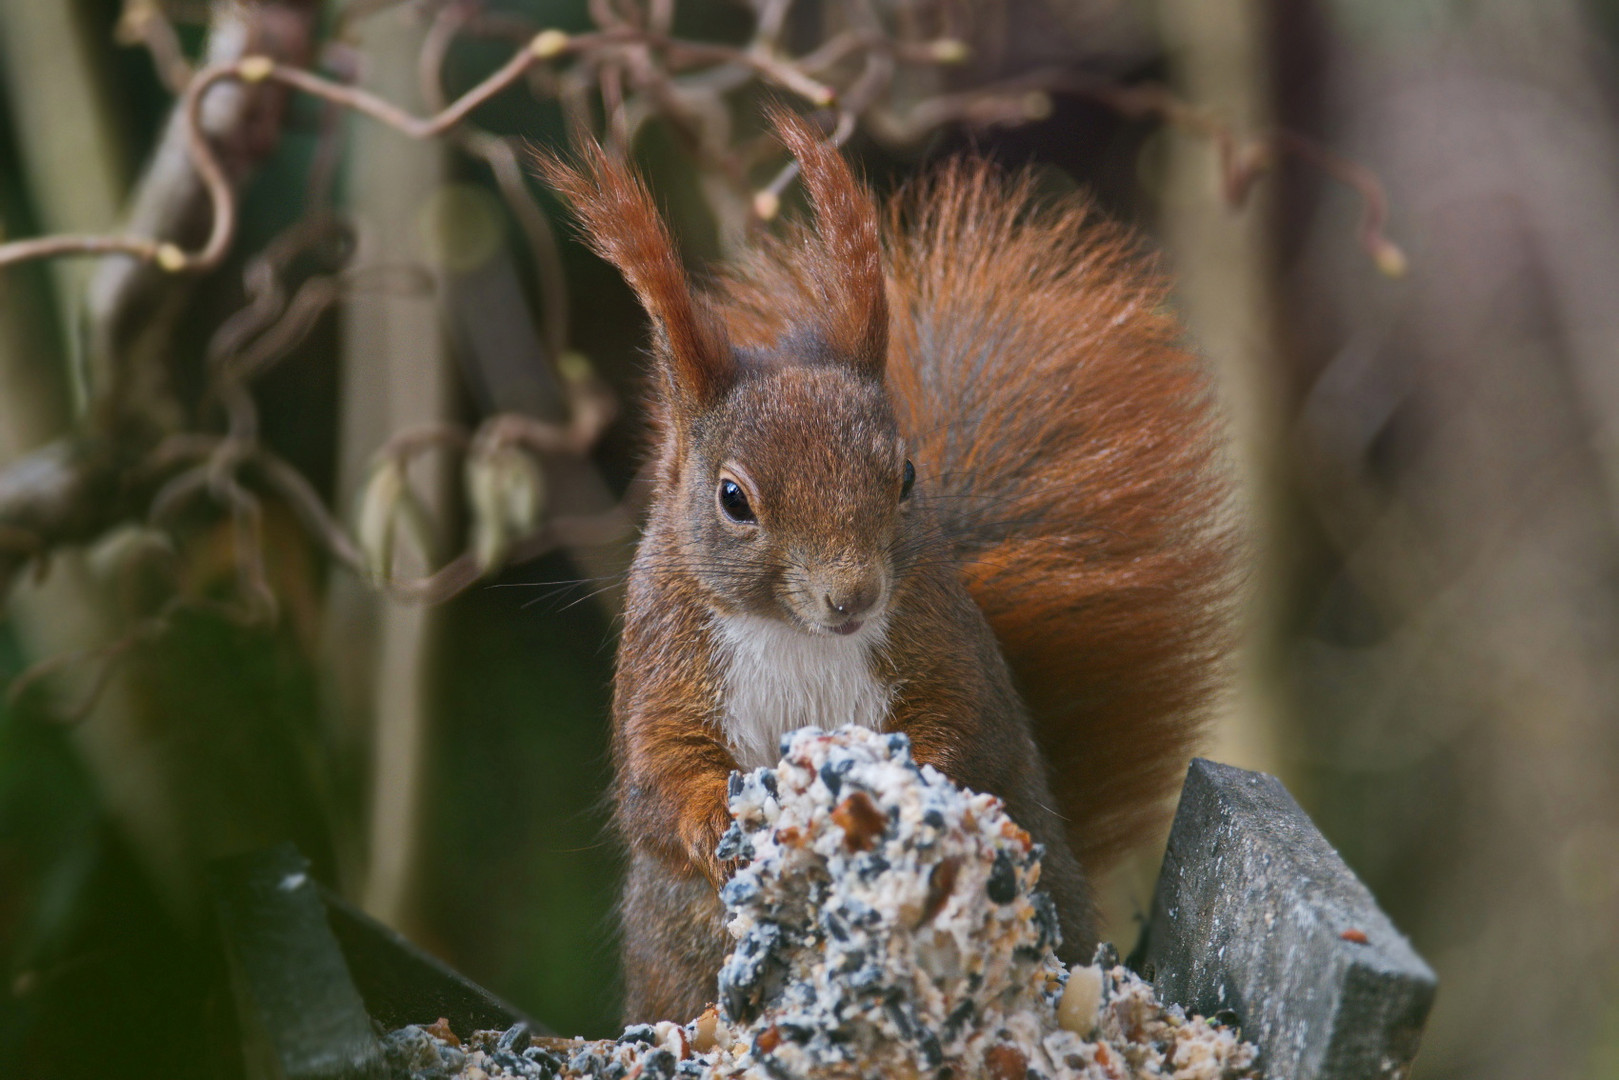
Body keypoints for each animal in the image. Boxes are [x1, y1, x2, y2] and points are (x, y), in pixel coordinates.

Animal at [537, 114, 1230, 1029]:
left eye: (903, 476)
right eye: (732, 498)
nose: (854, 597)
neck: (793, 632)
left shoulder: (937, 639)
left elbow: (962, 729)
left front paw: (908, 791)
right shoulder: (662, 664)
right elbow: (659, 781)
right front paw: (721, 818)